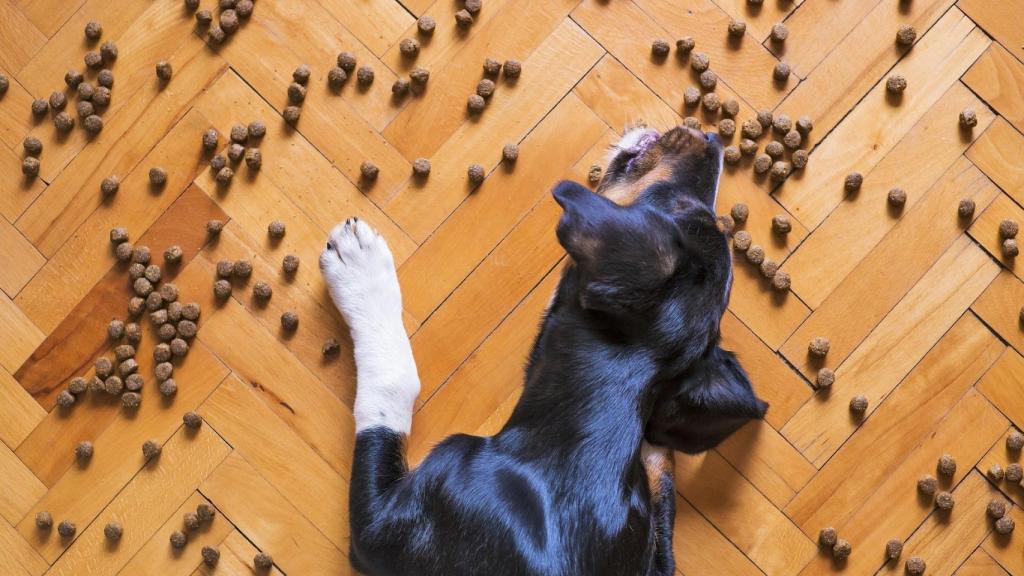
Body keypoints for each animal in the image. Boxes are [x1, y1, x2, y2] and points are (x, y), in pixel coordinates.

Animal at [319, 124, 770, 573]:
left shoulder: (383, 529)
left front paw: (360, 268)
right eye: (696, 213)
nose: (712, 139)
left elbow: (392, 389)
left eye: (679, 209)